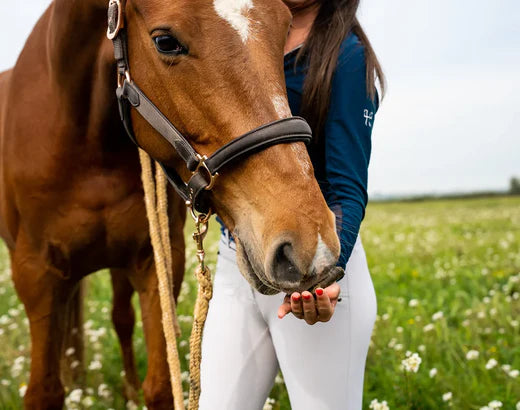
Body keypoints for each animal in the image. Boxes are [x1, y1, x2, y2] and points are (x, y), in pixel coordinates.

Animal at [0, 0, 342, 408]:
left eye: (285, 28)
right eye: (165, 42)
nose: (312, 243)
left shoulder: (157, 262)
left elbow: (160, 384)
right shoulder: (36, 274)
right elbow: (44, 392)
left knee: (120, 318)